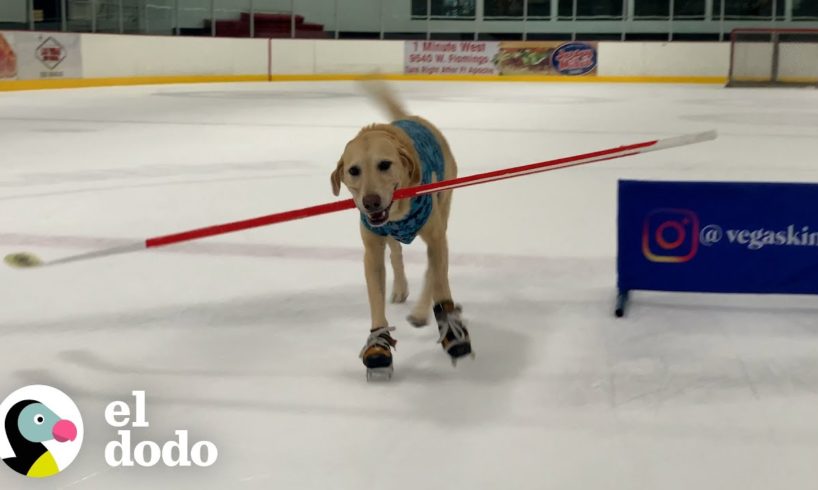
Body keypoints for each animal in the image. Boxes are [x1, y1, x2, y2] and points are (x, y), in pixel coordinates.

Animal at [330, 81, 472, 378]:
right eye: (353, 170)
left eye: (385, 164)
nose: (371, 202)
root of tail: (413, 117)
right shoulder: (372, 250)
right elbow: (375, 296)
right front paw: (379, 343)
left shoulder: (436, 238)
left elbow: (440, 282)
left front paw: (452, 332)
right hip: (390, 238)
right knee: (396, 254)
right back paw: (400, 288)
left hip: (444, 208)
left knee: (433, 269)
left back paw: (419, 312)